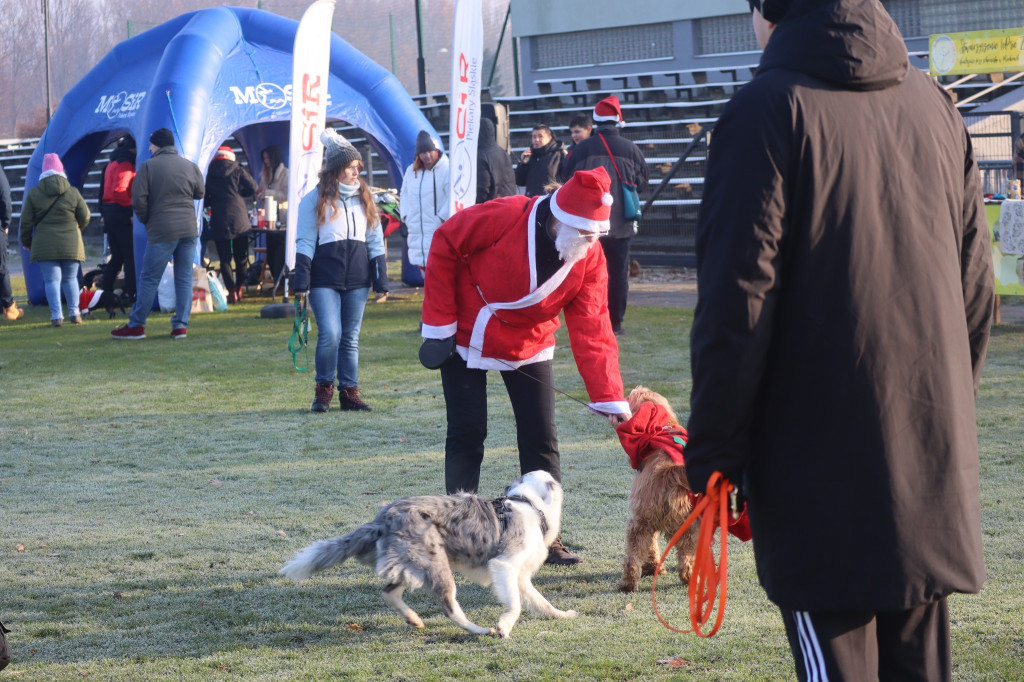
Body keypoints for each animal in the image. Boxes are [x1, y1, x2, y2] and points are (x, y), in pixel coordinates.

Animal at [280, 471, 577, 634]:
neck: (527, 503)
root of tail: (383, 519)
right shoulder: (504, 566)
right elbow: (514, 605)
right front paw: (504, 626)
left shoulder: (519, 576)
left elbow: (540, 601)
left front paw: (561, 615)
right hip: (436, 565)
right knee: (450, 608)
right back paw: (479, 630)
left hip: (413, 563)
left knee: (389, 592)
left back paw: (413, 619)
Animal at [610, 385, 700, 593]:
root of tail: (669, 471)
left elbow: (650, 546)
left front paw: (651, 568)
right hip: (688, 525)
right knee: (687, 559)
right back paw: (690, 580)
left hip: (639, 522)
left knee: (633, 557)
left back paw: (627, 584)